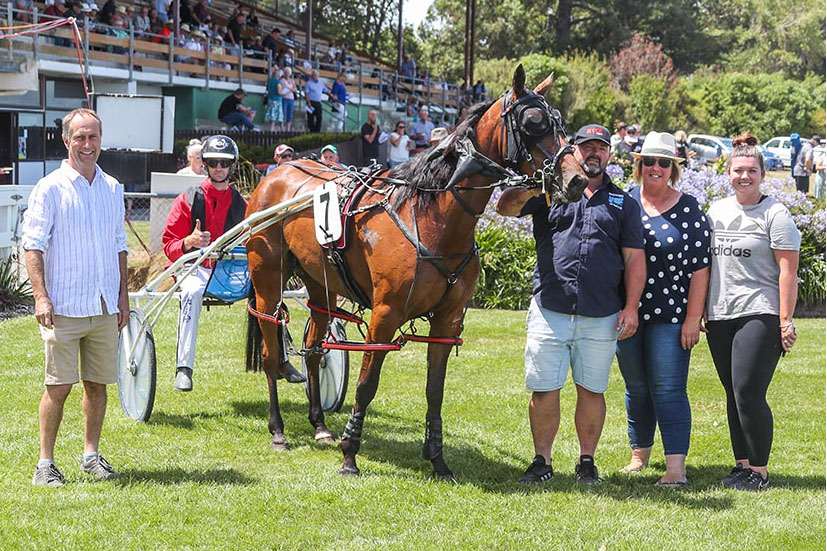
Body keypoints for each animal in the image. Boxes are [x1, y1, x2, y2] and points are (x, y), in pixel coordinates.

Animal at [246, 66, 588, 478]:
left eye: (560, 122)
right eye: (533, 122)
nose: (577, 179)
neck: (431, 218)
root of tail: (277, 171)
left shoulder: (447, 320)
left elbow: (434, 390)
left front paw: (437, 458)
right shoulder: (384, 315)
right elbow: (366, 384)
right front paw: (350, 454)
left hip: (321, 284)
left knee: (314, 349)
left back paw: (319, 424)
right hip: (268, 278)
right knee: (271, 350)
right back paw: (278, 430)